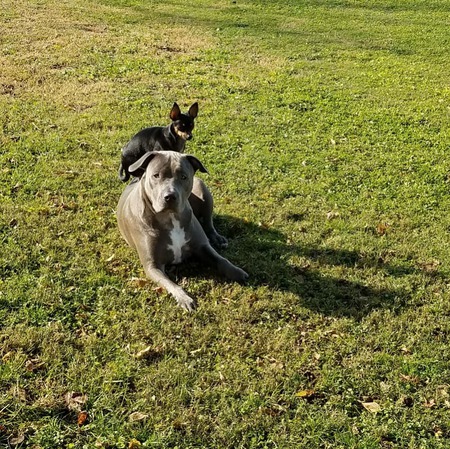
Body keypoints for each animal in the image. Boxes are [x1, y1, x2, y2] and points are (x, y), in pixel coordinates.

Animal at [116, 150, 248, 312]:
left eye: (184, 177)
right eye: (156, 175)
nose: (170, 196)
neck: (171, 218)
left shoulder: (202, 246)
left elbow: (221, 259)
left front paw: (237, 272)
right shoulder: (152, 265)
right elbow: (171, 284)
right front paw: (185, 298)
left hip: (202, 187)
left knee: (208, 222)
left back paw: (217, 238)